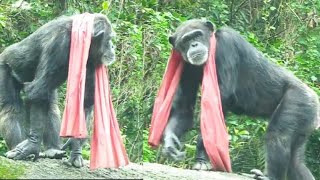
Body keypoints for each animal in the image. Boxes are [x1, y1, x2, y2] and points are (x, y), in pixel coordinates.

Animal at [0, 13, 115, 168]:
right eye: (109, 39)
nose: (113, 46)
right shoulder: (58, 43)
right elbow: (37, 91)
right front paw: (32, 145)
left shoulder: (91, 59)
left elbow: (85, 100)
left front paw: (75, 147)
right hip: (4, 67)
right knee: (11, 108)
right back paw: (17, 147)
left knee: (51, 106)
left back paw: (52, 150)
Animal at [162, 18, 320, 180]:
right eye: (186, 41)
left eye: (197, 35)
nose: (194, 44)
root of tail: (314, 95)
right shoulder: (186, 66)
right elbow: (184, 109)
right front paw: (170, 142)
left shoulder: (228, 43)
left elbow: (219, 100)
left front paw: (202, 157)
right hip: (306, 119)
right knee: (295, 161)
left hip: (299, 100)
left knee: (278, 135)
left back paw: (270, 176)